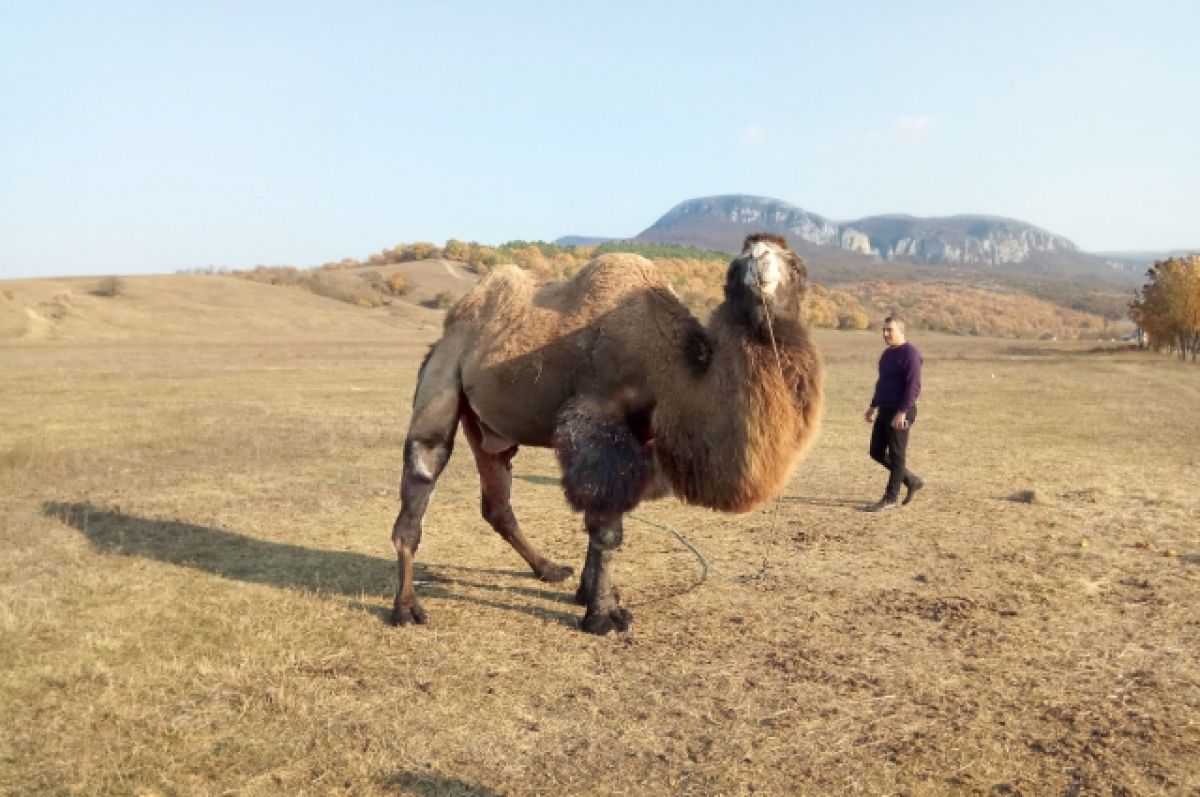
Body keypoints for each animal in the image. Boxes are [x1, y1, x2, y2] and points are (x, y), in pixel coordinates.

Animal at [388, 231, 820, 633]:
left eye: (798, 267)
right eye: (735, 266)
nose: (759, 257)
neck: (670, 369)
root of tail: (445, 334)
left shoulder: (639, 439)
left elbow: (605, 516)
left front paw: (590, 592)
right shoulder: (596, 420)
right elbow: (607, 527)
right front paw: (604, 615)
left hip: (488, 428)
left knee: (497, 501)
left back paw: (548, 568)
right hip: (442, 379)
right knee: (424, 466)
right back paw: (406, 608)